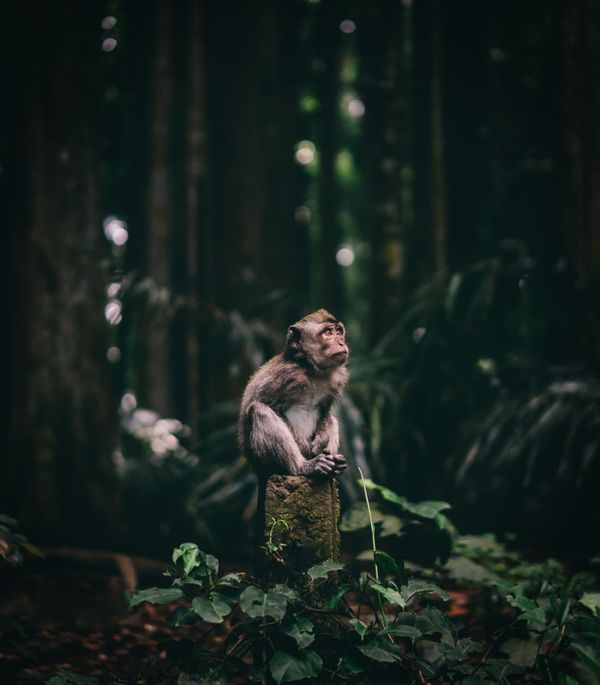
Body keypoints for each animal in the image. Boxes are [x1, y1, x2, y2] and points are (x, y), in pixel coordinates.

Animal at [239, 309, 349, 478]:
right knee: (259, 411)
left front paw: (321, 440)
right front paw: (305, 449)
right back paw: (302, 467)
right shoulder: (286, 375)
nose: (341, 343)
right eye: (328, 332)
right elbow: (271, 407)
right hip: (263, 464)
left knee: (332, 418)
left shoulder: (337, 378)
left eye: (338, 331)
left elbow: (325, 412)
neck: (311, 370)